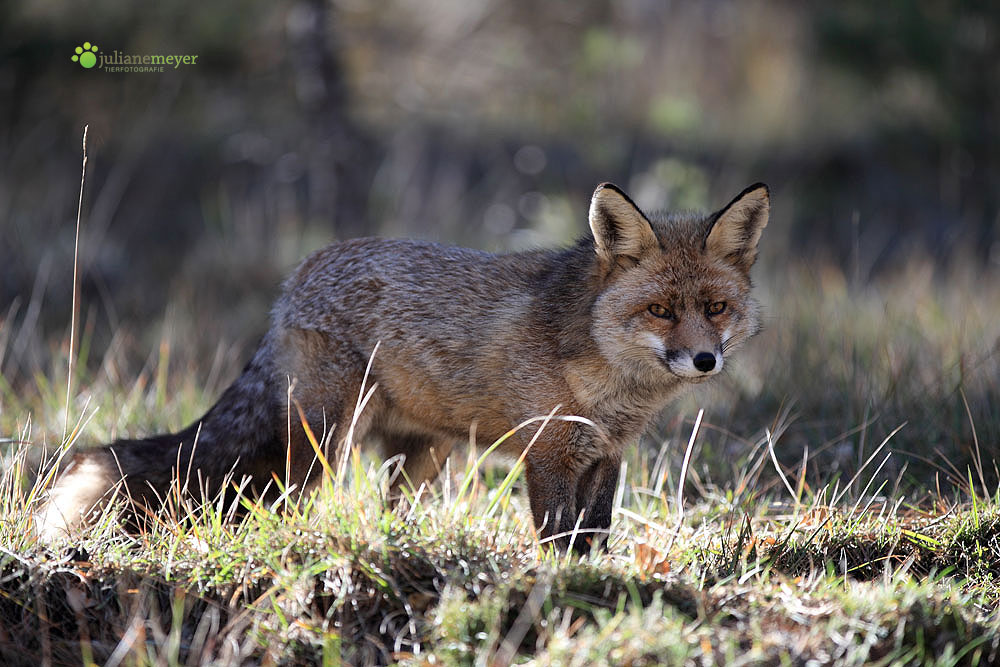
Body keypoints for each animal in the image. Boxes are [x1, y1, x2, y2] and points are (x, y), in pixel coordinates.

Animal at [35, 183, 768, 552]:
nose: (705, 358)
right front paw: (560, 587)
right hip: (325, 443)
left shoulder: (606, 455)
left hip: (422, 456)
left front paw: (594, 584)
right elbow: (557, 539)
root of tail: (296, 278)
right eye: (661, 310)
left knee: (390, 508)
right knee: (287, 503)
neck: (612, 389)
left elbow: (596, 536)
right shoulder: (548, 453)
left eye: (716, 307)